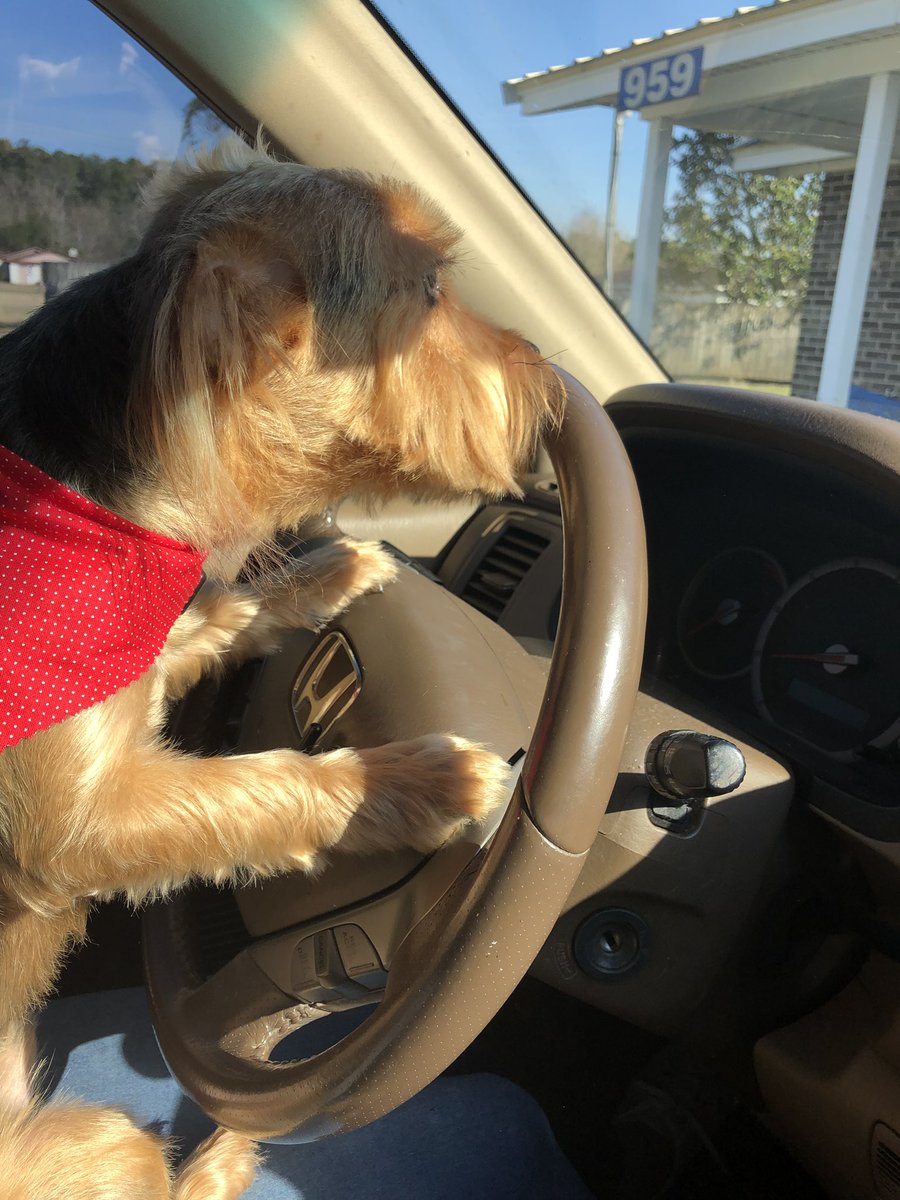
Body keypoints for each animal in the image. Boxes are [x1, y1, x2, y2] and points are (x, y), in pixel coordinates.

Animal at [0, 136, 564, 1195]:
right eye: (429, 288)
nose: (552, 377)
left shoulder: (143, 655)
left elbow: (224, 613)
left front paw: (329, 572)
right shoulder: (76, 824)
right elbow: (268, 783)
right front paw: (421, 780)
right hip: (88, 1146)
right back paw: (229, 1143)